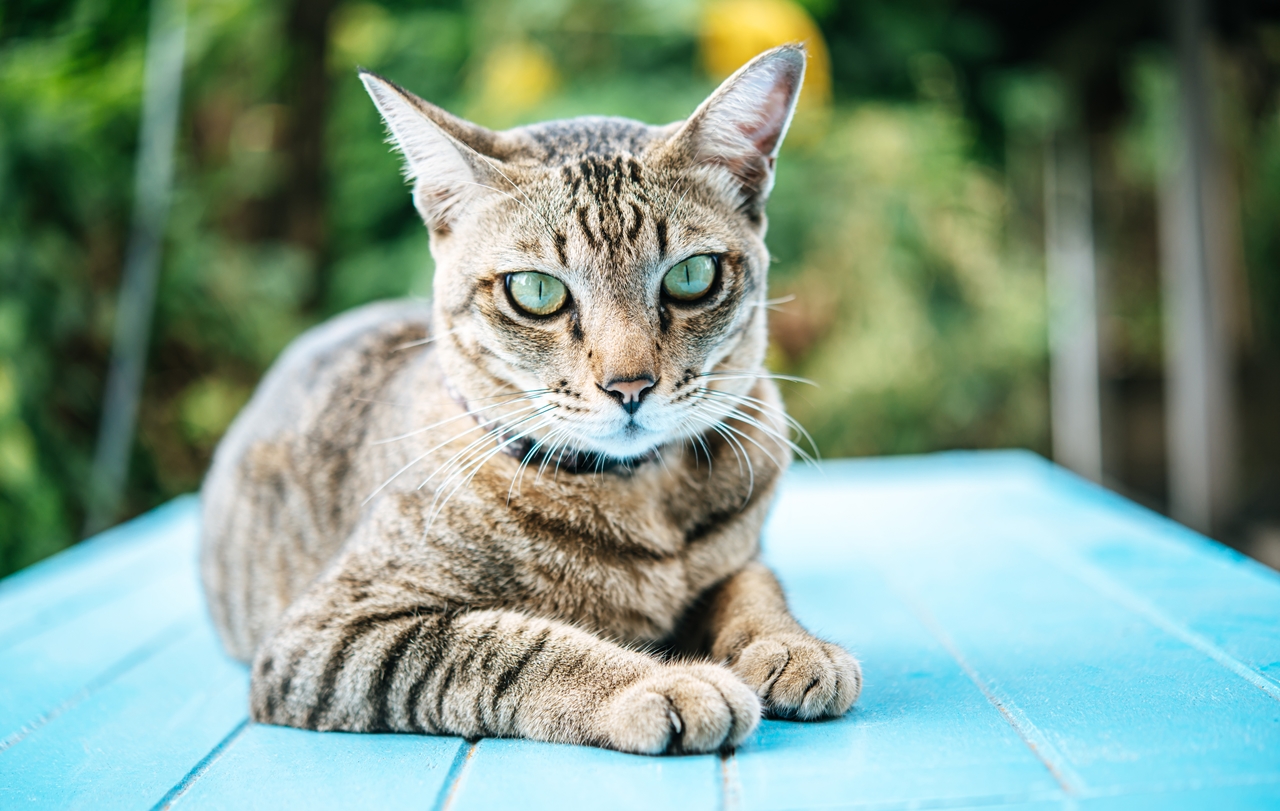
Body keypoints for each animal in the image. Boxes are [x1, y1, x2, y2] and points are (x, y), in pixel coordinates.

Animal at [199, 42, 860, 752]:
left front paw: (791, 645)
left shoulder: (740, 557)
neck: (639, 499)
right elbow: (512, 647)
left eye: (691, 276)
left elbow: (755, 588)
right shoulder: (331, 634)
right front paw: (659, 681)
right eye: (536, 291)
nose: (630, 386)